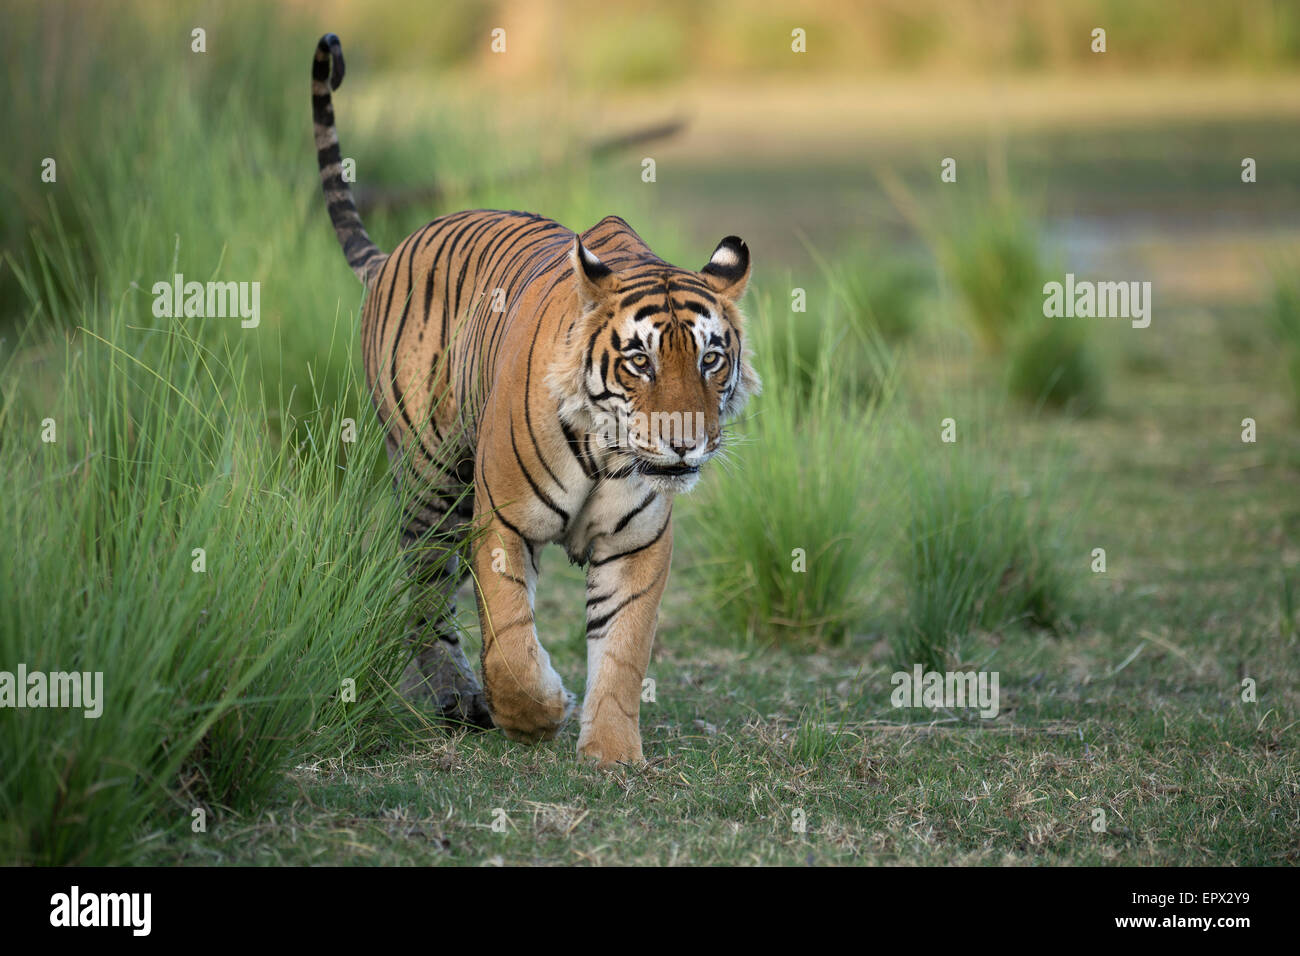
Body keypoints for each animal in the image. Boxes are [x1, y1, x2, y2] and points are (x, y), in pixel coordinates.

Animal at [310, 29, 759, 764]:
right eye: (639, 362)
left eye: (711, 360)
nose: (685, 444)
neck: (608, 452)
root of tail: (395, 250)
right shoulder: (502, 523)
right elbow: (509, 641)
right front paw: (537, 713)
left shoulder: (636, 545)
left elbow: (622, 649)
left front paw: (611, 754)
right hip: (435, 482)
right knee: (426, 597)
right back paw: (459, 696)